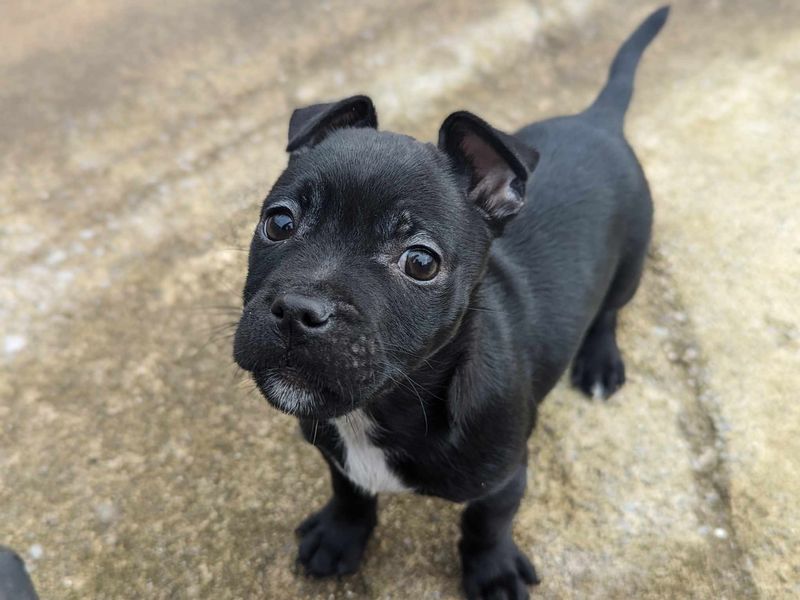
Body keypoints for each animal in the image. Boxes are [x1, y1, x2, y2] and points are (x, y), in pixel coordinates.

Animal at [233, 5, 668, 600]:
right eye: (278, 223)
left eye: (421, 262)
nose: (298, 310)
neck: (383, 408)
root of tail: (597, 118)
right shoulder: (336, 454)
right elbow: (349, 489)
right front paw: (340, 535)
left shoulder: (504, 478)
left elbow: (485, 525)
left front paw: (493, 573)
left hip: (630, 263)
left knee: (608, 311)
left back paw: (600, 361)